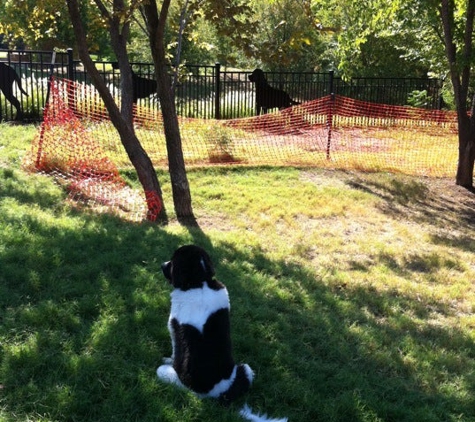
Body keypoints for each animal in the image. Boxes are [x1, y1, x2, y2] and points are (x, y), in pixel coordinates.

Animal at [158, 244, 288, 422]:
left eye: (172, 262)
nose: (162, 264)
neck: (200, 282)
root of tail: (216, 397)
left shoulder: (173, 326)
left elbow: (174, 351)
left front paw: (168, 359)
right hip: (245, 369)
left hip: (168, 376)